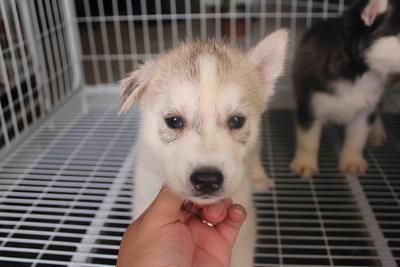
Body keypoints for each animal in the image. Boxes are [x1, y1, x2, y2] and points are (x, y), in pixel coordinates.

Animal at [290, 0, 400, 180]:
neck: (359, 72)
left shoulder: (366, 110)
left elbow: (357, 138)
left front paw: (352, 161)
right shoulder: (309, 104)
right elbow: (308, 140)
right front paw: (305, 164)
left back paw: (377, 131)